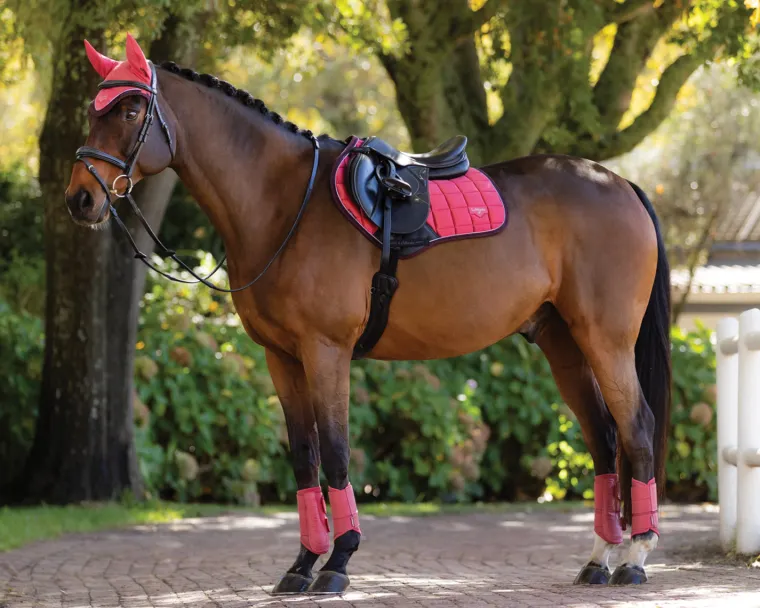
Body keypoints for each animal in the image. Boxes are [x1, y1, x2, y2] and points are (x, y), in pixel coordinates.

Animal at [65, 35, 670, 593]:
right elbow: (304, 457)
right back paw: (599, 559)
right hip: (563, 342)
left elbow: (336, 452)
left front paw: (337, 562)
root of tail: (619, 183)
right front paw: (301, 565)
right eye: (93, 110)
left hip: (606, 340)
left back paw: (635, 557)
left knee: (636, 428)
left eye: (129, 110)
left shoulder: (325, 350)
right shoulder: (281, 357)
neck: (285, 203)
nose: (80, 200)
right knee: (603, 438)